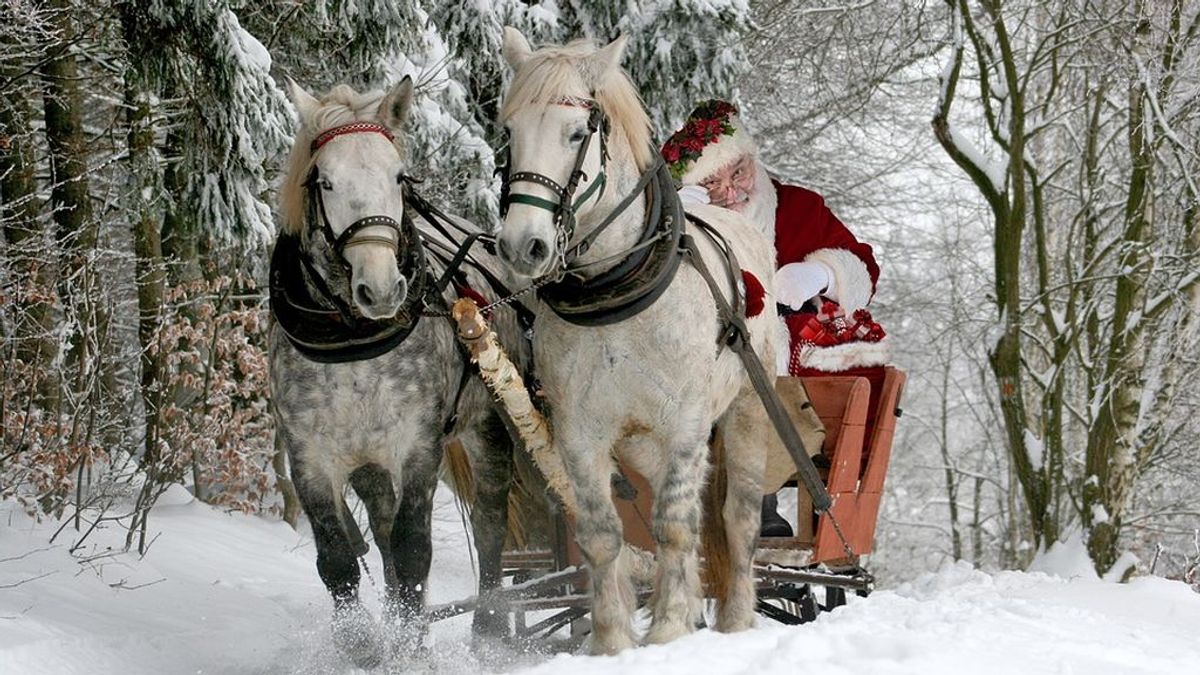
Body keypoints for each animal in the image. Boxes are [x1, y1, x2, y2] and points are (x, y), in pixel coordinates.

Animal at [496, 28, 777, 648]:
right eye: (509, 133)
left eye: (577, 133)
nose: (522, 246)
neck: (616, 294)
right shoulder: (579, 432)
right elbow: (603, 534)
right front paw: (612, 640)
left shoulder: (687, 424)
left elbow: (673, 526)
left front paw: (668, 629)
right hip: (643, 444)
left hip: (747, 413)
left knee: (737, 518)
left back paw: (737, 619)